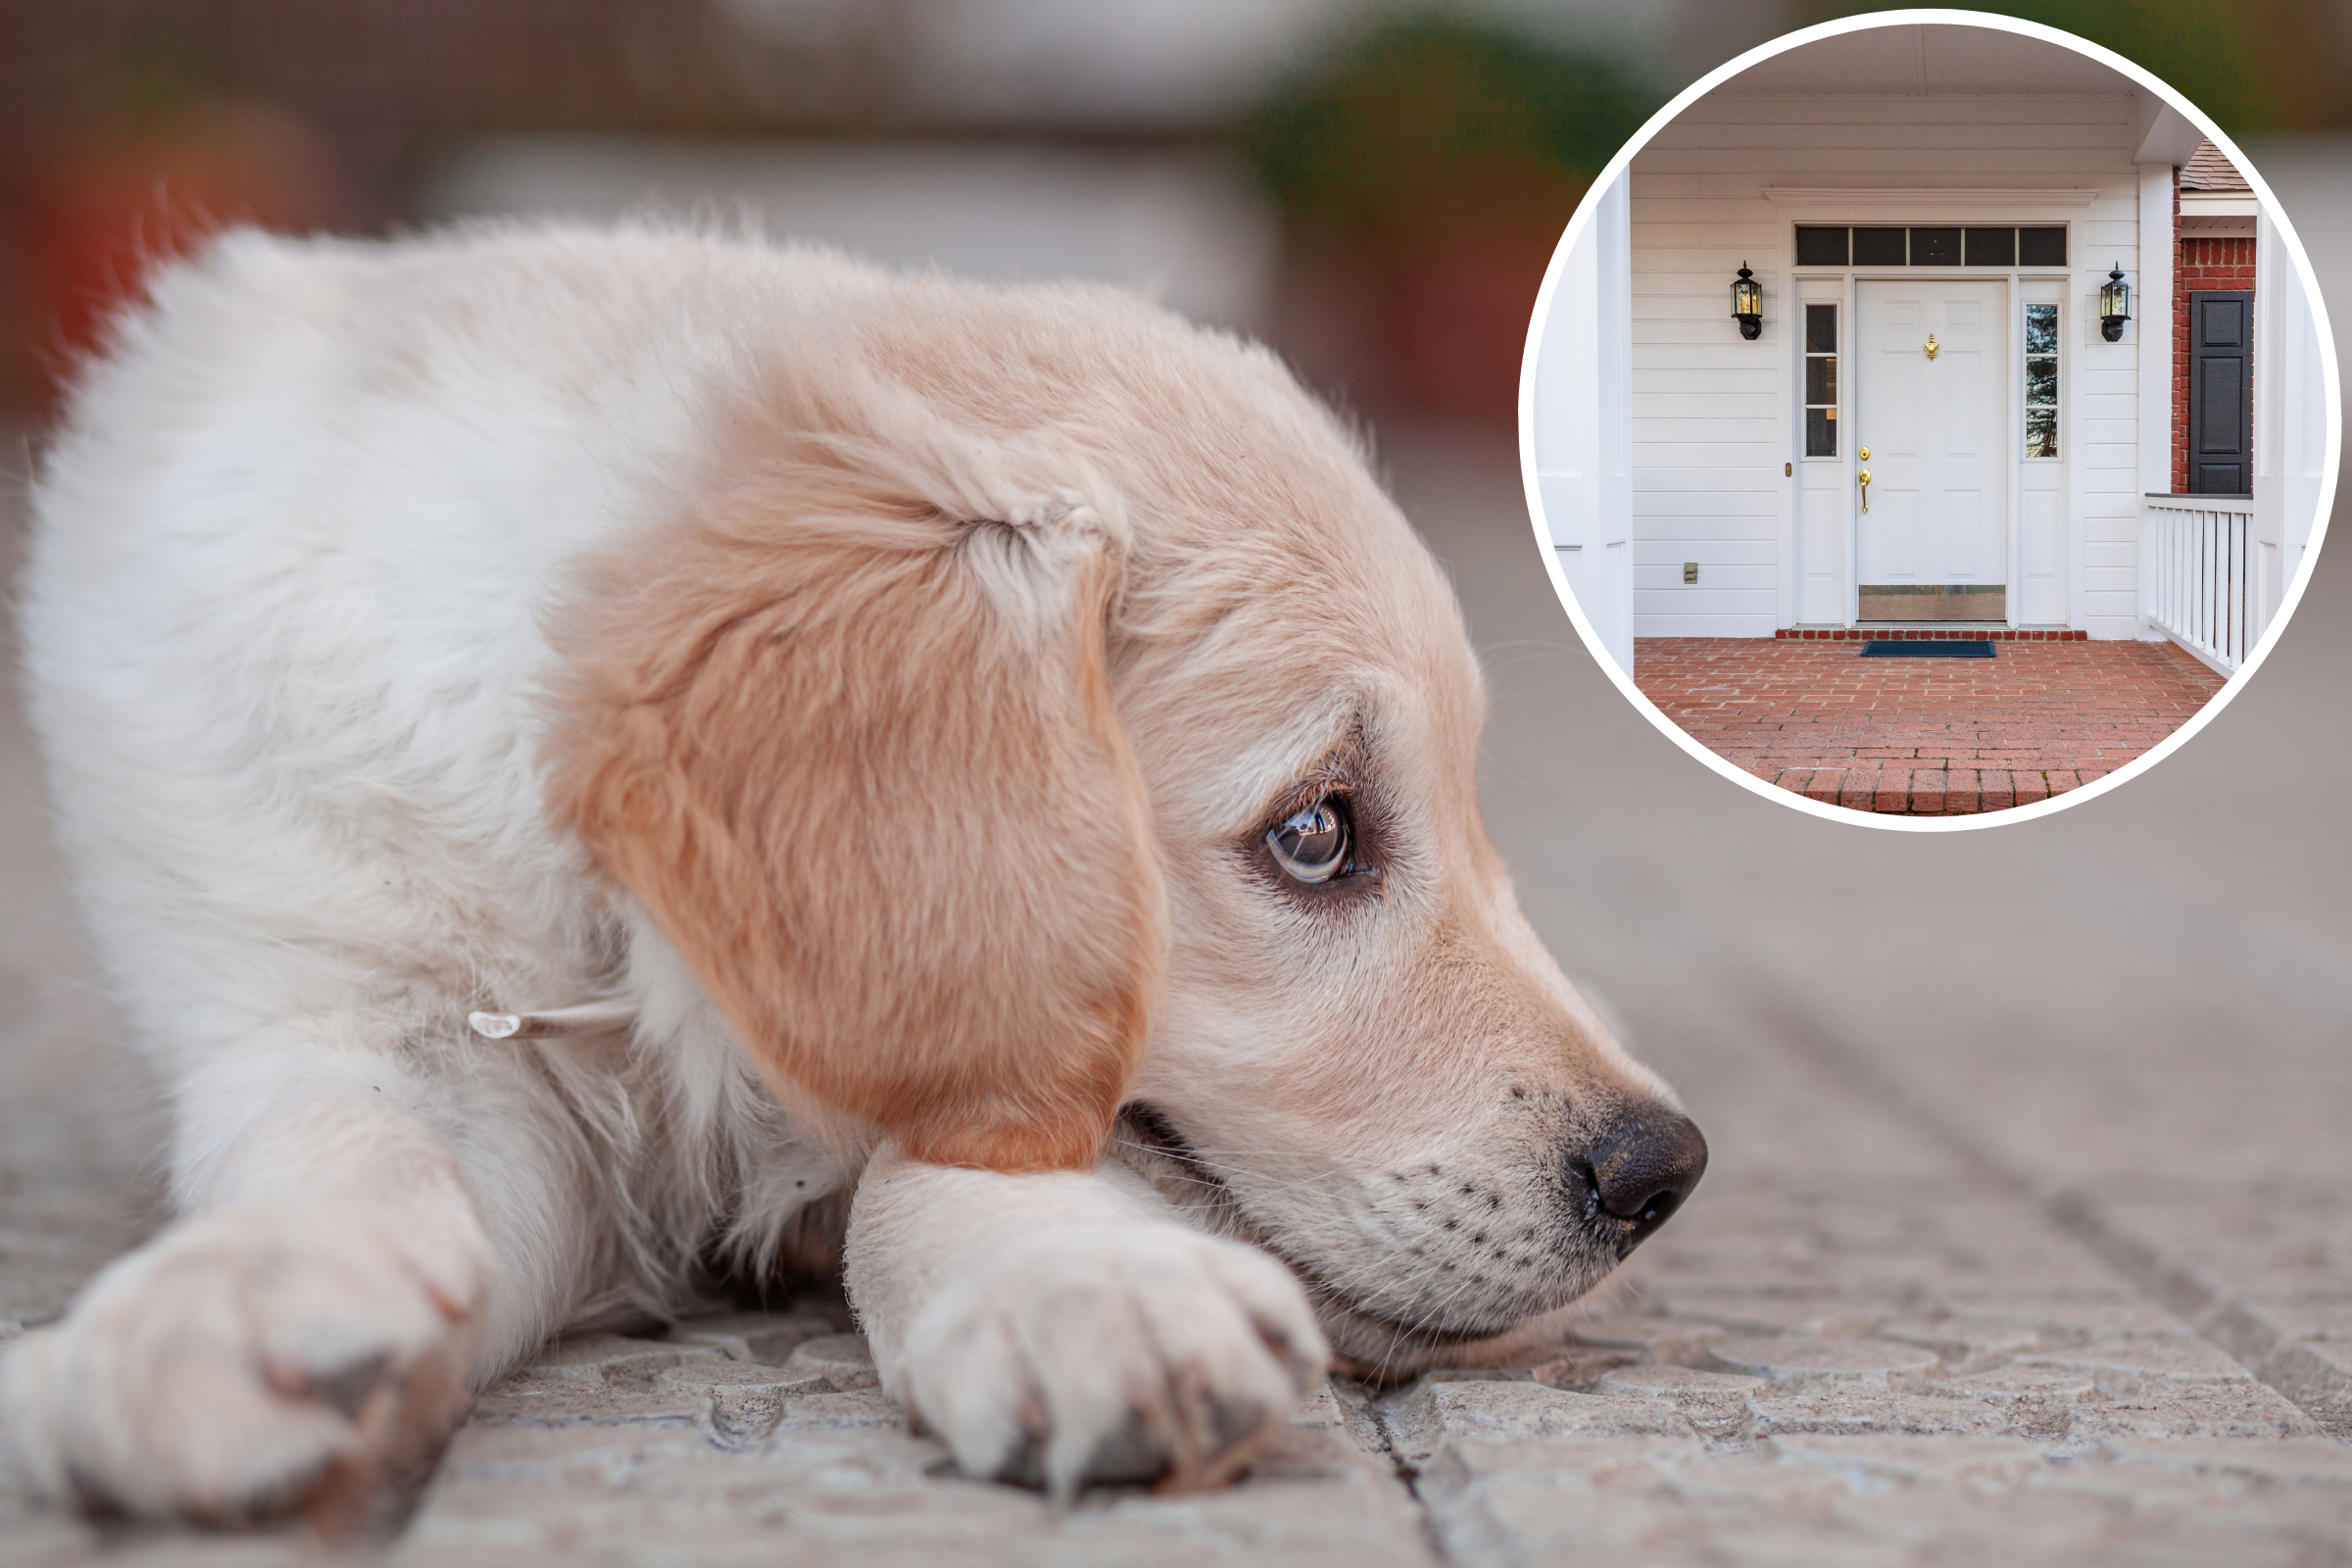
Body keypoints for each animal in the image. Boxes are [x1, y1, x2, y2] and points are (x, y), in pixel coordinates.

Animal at [0, 222, 1702, 1523]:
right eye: (1317, 833)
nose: (1662, 1174)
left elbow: (947, 1140)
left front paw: (1077, 1287)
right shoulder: (344, 988)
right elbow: (351, 1140)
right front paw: (239, 1300)